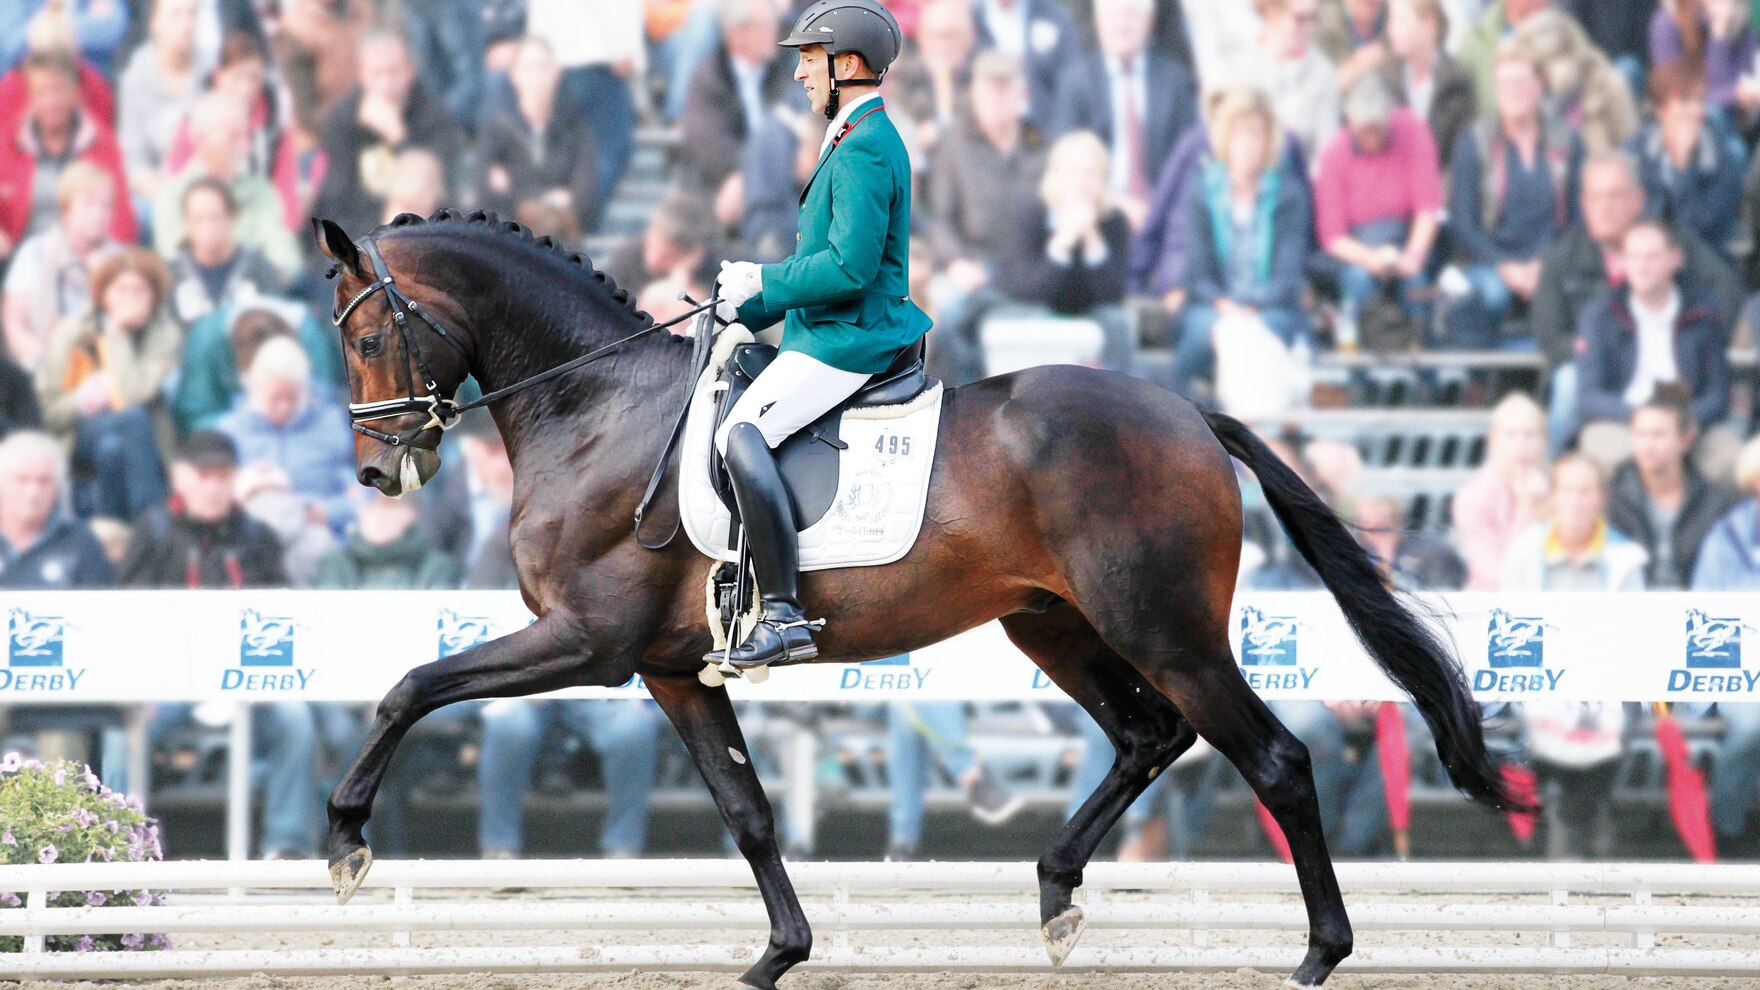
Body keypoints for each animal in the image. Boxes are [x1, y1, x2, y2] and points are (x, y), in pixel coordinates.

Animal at [316, 209, 1527, 986]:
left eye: (369, 336)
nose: (378, 474)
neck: (595, 406)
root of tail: (1188, 414)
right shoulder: (668, 669)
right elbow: (746, 808)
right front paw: (779, 956)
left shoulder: (585, 641)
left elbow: (411, 684)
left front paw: (344, 838)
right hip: (1053, 625)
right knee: (1148, 737)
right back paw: (1055, 894)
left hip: (1164, 629)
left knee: (1270, 759)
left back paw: (1318, 956)